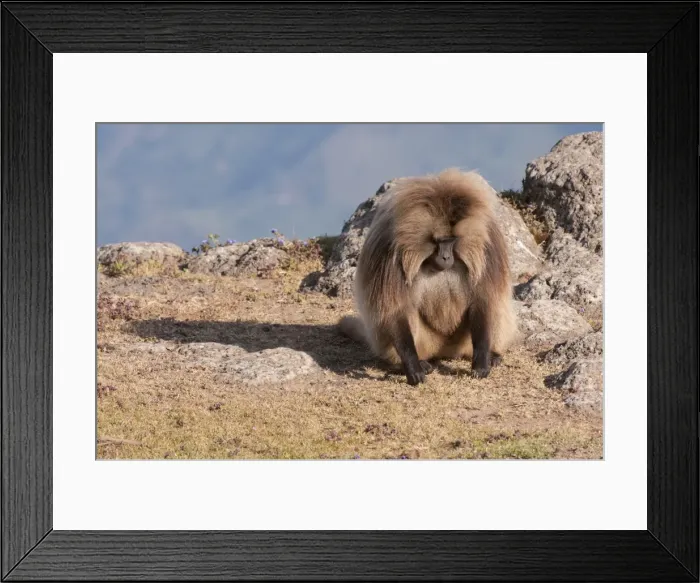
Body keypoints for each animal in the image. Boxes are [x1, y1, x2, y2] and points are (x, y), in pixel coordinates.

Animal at [338, 168, 517, 386]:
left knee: (496, 307)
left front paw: (482, 362)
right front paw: (413, 368)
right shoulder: (388, 252)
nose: (446, 257)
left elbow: (483, 301)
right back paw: (413, 364)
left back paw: (494, 355)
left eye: (452, 240)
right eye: (439, 241)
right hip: (426, 343)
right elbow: (395, 310)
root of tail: (445, 351)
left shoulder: (487, 247)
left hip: (463, 343)